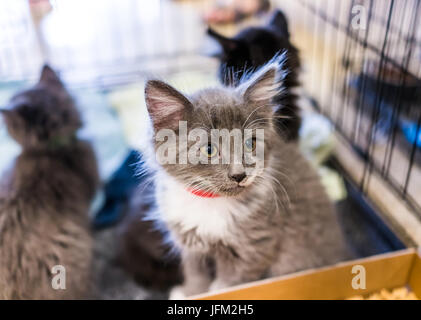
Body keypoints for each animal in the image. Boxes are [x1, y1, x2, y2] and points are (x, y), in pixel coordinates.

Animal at [144, 57, 348, 298]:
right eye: (209, 149)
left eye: (250, 143)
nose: (239, 174)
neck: (210, 202)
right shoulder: (189, 242)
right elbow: (195, 273)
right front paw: (191, 292)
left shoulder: (254, 247)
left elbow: (229, 285)